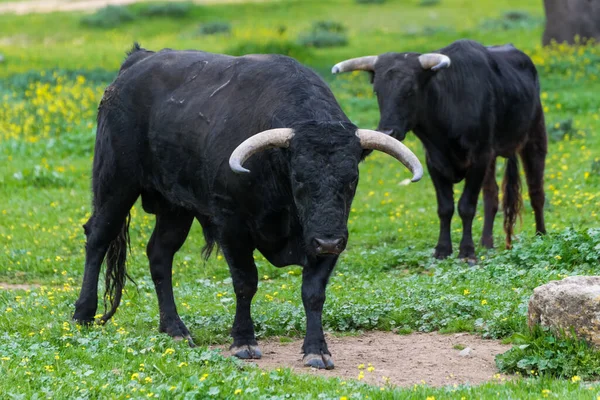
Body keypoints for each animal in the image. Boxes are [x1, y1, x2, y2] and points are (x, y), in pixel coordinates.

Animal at [72, 43, 424, 368]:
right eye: (299, 178)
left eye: (351, 180)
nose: (328, 241)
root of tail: (138, 59)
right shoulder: (232, 226)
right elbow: (245, 282)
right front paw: (243, 341)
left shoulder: (326, 235)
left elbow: (313, 292)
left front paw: (317, 349)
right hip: (116, 182)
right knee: (98, 237)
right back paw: (83, 315)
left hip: (175, 207)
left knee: (160, 254)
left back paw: (175, 328)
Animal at [332, 39, 548, 260]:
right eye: (377, 91)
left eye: (410, 89)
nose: (387, 131)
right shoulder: (434, 162)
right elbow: (445, 208)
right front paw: (442, 249)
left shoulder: (479, 158)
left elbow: (466, 206)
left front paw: (466, 251)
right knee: (492, 195)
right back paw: (486, 242)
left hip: (535, 137)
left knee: (536, 191)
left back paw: (541, 235)